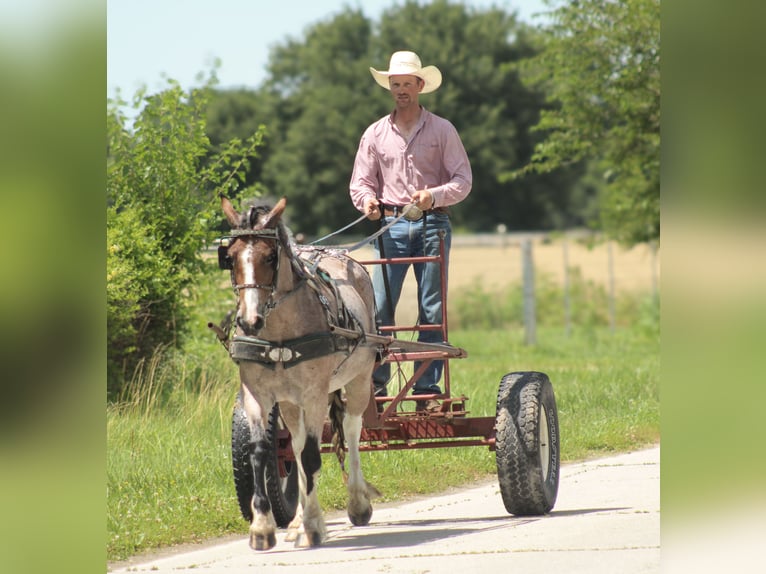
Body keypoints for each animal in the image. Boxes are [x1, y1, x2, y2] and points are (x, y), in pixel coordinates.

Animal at [219, 195, 378, 550]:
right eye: (230, 257)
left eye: (269, 256)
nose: (249, 321)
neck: (278, 334)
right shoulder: (257, 394)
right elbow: (262, 451)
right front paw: (263, 527)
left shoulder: (315, 395)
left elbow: (311, 456)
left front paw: (313, 525)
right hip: (290, 403)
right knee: (294, 443)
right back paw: (295, 521)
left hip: (359, 380)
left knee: (351, 429)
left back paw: (357, 502)